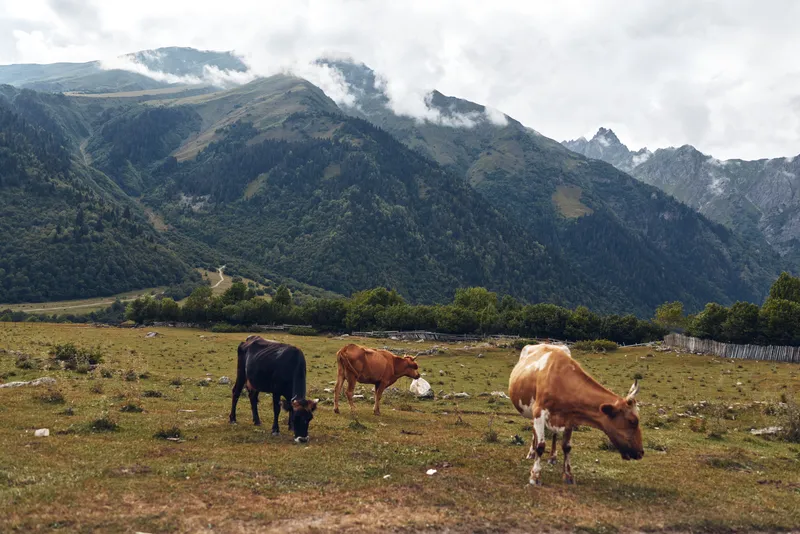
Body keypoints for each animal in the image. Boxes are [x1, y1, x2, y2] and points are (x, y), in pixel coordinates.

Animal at [509, 343, 643, 486]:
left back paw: (552, 457)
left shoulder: (570, 417)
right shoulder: (539, 411)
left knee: (553, 434)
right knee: (535, 432)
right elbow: (540, 445)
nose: (641, 452)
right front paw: (535, 476)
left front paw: (568, 476)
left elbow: (567, 447)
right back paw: (531, 453)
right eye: (633, 421)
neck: (561, 381)